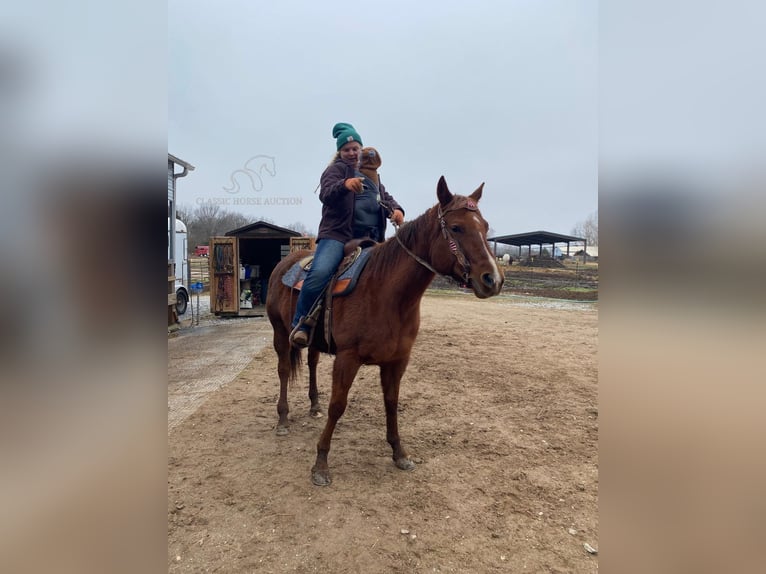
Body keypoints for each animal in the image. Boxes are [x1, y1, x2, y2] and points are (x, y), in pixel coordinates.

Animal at [268, 177, 508, 486]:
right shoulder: (348, 358)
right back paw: (283, 419)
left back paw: (313, 406)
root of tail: (284, 264)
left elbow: (391, 402)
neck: (385, 293)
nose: (493, 279)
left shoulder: (397, 361)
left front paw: (399, 453)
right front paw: (321, 463)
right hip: (279, 332)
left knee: (311, 363)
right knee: (284, 370)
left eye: (485, 226)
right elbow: (338, 405)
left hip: (314, 342)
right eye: (456, 228)